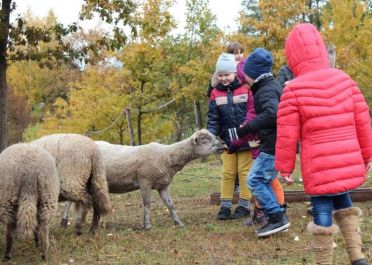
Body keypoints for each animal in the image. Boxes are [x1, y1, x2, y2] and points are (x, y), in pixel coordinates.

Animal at [62, 129, 224, 228]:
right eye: (204, 139)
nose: (222, 142)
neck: (168, 156)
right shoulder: (145, 181)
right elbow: (147, 204)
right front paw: (147, 225)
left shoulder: (163, 185)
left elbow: (170, 205)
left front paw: (178, 223)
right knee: (70, 200)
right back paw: (64, 221)